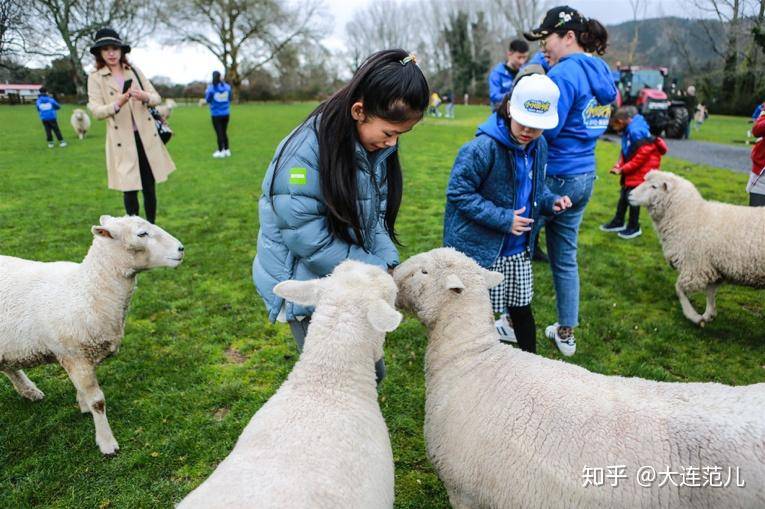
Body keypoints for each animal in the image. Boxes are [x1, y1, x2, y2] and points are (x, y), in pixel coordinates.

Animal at [0, 216, 185, 454]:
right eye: (142, 234)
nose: (181, 249)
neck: (87, 289)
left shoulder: (83, 355)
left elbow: (84, 392)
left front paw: (83, 405)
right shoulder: (74, 354)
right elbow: (98, 401)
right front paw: (107, 442)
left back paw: (29, 391)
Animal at [628, 171, 764, 326]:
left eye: (654, 186)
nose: (629, 195)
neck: (690, 216)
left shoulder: (695, 267)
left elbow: (679, 289)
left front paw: (694, 316)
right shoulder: (711, 268)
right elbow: (710, 293)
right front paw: (709, 314)